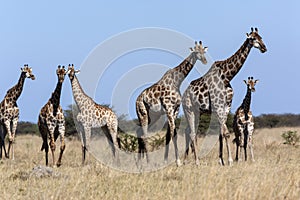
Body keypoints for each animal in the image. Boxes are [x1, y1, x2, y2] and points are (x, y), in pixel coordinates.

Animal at [182, 28, 266, 166]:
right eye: (253, 38)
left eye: (261, 37)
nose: (264, 48)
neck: (227, 77)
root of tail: (183, 95)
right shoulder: (218, 106)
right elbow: (226, 133)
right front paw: (230, 160)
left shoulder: (226, 107)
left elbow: (222, 133)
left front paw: (222, 160)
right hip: (188, 109)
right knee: (192, 132)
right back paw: (196, 161)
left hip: (197, 111)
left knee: (187, 131)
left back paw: (185, 160)